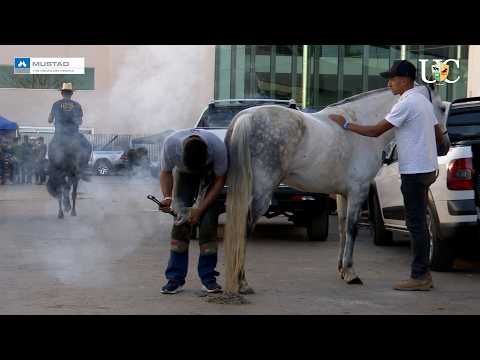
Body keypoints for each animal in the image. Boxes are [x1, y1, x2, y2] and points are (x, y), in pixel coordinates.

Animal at [221, 84, 450, 296]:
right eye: (442, 108)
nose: (445, 146)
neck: (362, 128)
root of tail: (246, 117)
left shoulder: (343, 194)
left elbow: (341, 227)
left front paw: (341, 269)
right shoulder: (358, 191)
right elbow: (352, 229)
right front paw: (351, 273)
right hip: (261, 194)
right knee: (243, 229)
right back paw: (242, 283)